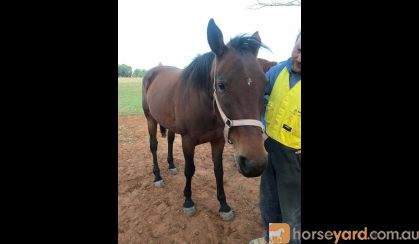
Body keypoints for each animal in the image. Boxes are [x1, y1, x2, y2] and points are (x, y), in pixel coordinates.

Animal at [142, 18, 270, 221]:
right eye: (221, 85)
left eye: (265, 84)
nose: (254, 163)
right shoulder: (188, 140)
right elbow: (189, 169)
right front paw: (188, 201)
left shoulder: (218, 141)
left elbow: (218, 170)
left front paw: (224, 205)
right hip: (150, 119)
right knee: (153, 145)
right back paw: (158, 176)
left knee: (169, 139)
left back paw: (171, 165)